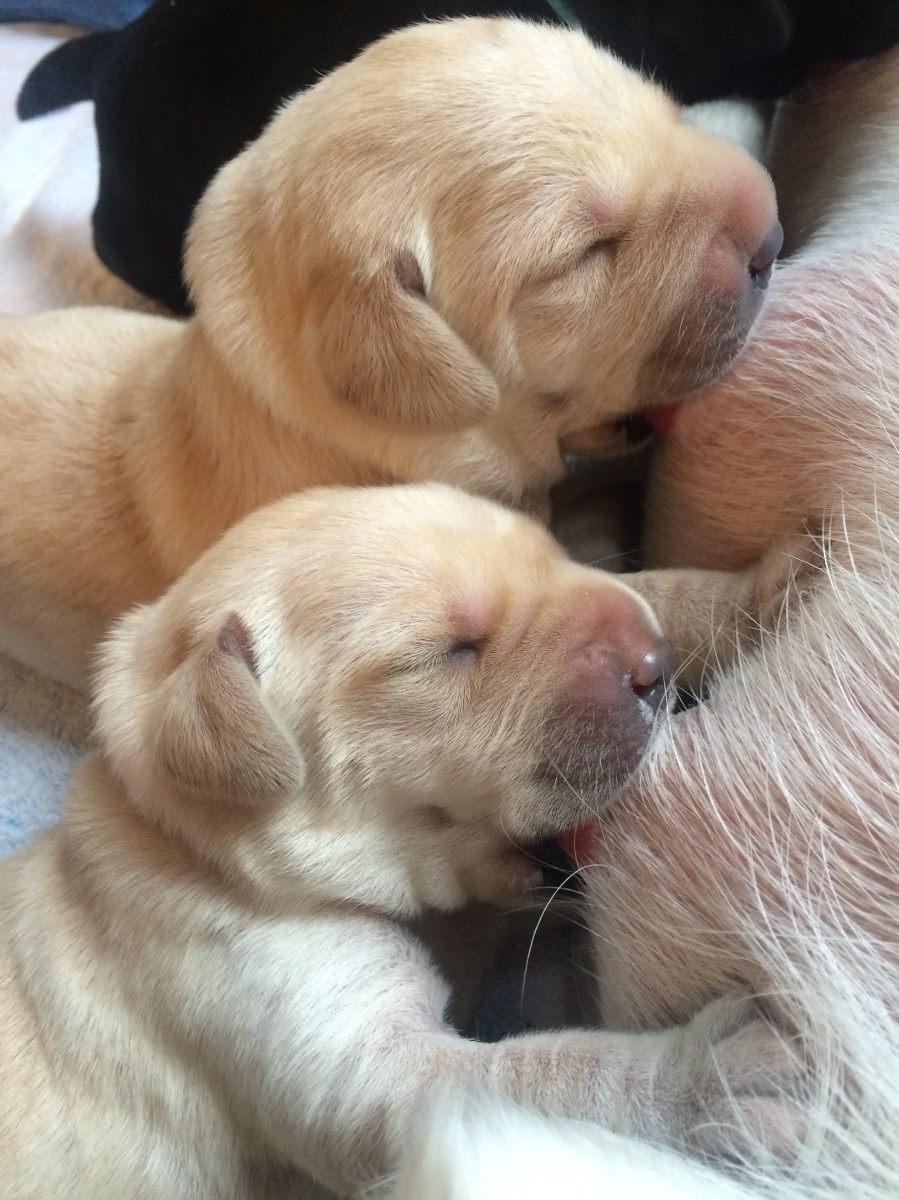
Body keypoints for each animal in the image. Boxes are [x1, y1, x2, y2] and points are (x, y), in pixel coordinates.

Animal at [0, 481, 809, 1199]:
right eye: (444, 653)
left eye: (551, 552)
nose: (654, 665)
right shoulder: (349, 1056)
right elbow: (534, 1079)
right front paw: (707, 1081)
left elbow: (643, 584)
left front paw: (761, 591)